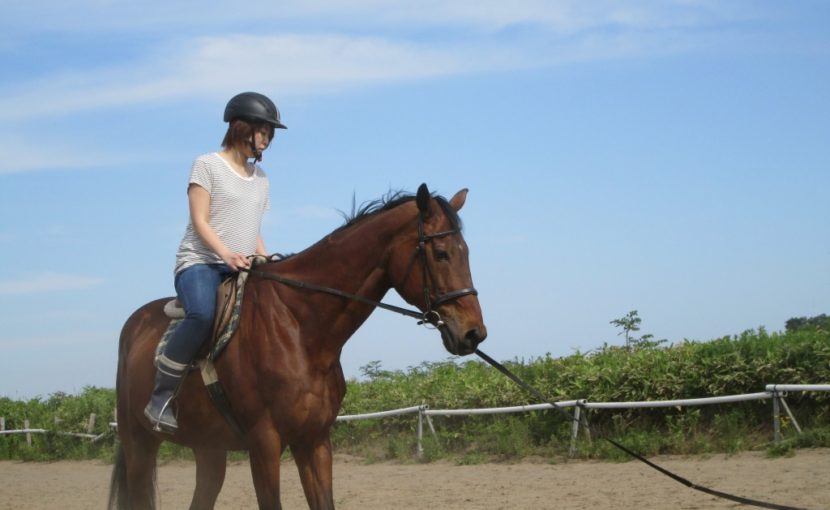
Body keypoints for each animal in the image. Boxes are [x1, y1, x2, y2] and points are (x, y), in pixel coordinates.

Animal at [108, 183, 487, 509]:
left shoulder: (314, 441)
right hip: (139, 445)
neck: (299, 328)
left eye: (466, 253)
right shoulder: (264, 444)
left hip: (209, 449)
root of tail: (133, 326)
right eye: (441, 254)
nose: (474, 334)